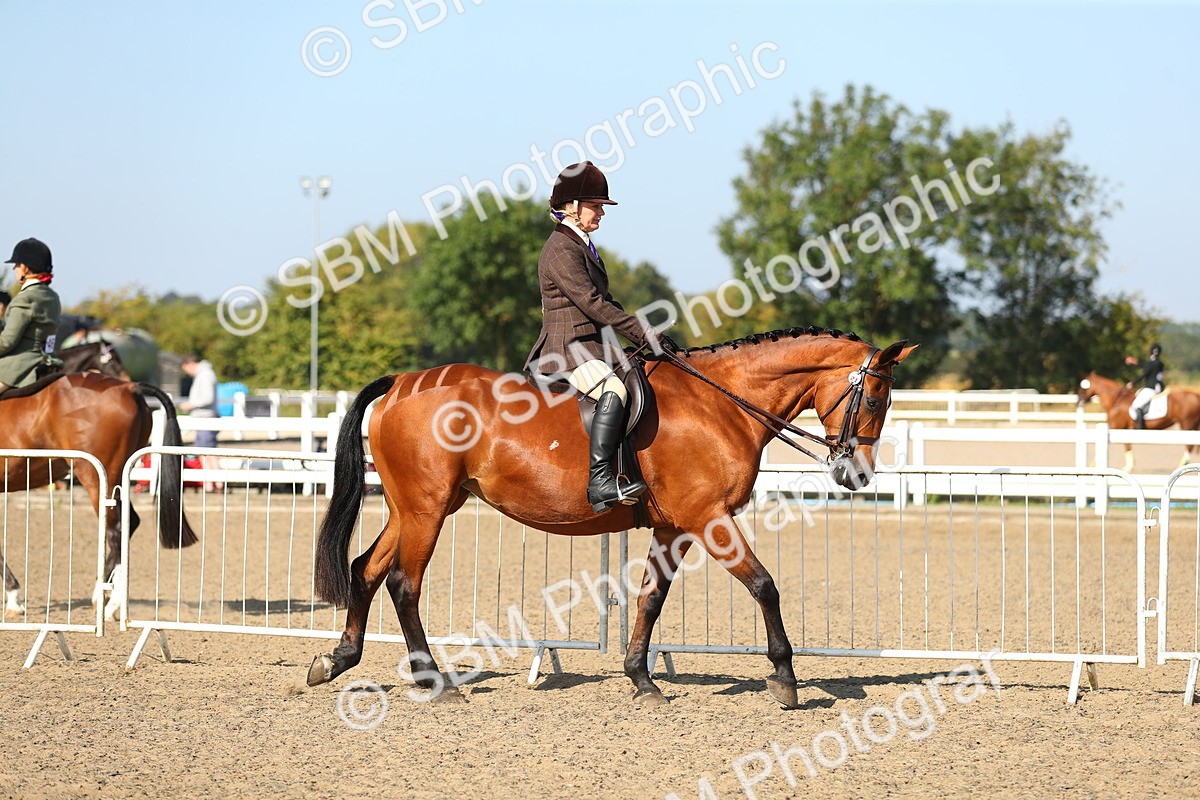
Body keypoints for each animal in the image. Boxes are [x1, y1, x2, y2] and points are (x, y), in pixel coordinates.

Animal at [1, 372, 197, 618]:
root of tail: (128, 387)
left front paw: (13, 598)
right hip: (118, 478)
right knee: (129, 523)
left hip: (97, 479)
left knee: (116, 531)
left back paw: (110, 604)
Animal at [307, 327, 917, 707]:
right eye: (875, 399)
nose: (858, 476)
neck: (720, 403)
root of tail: (401, 383)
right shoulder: (710, 518)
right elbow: (765, 585)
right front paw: (786, 680)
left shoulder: (675, 527)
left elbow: (650, 598)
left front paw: (642, 680)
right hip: (427, 509)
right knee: (404, 583)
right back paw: (437, 681)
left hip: (415, 507)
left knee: (366, 569)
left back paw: (336, 660)